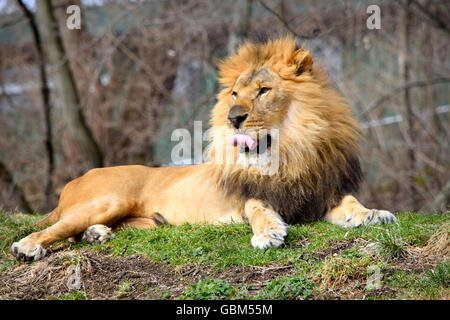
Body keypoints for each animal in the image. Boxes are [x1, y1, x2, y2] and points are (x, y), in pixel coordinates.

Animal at [10, 37, 396, 262]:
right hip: (109, 199)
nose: (233, 118)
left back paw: (96, 234)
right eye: (235, 94)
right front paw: (268, 233)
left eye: (263, 90)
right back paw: (28, 246)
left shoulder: (324, 192)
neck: (291, 151)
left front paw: (373, 214)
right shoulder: (248, 198)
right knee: (54, 228)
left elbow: (351, 203)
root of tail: (73, 182)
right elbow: (259, 208)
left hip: (144, 222)